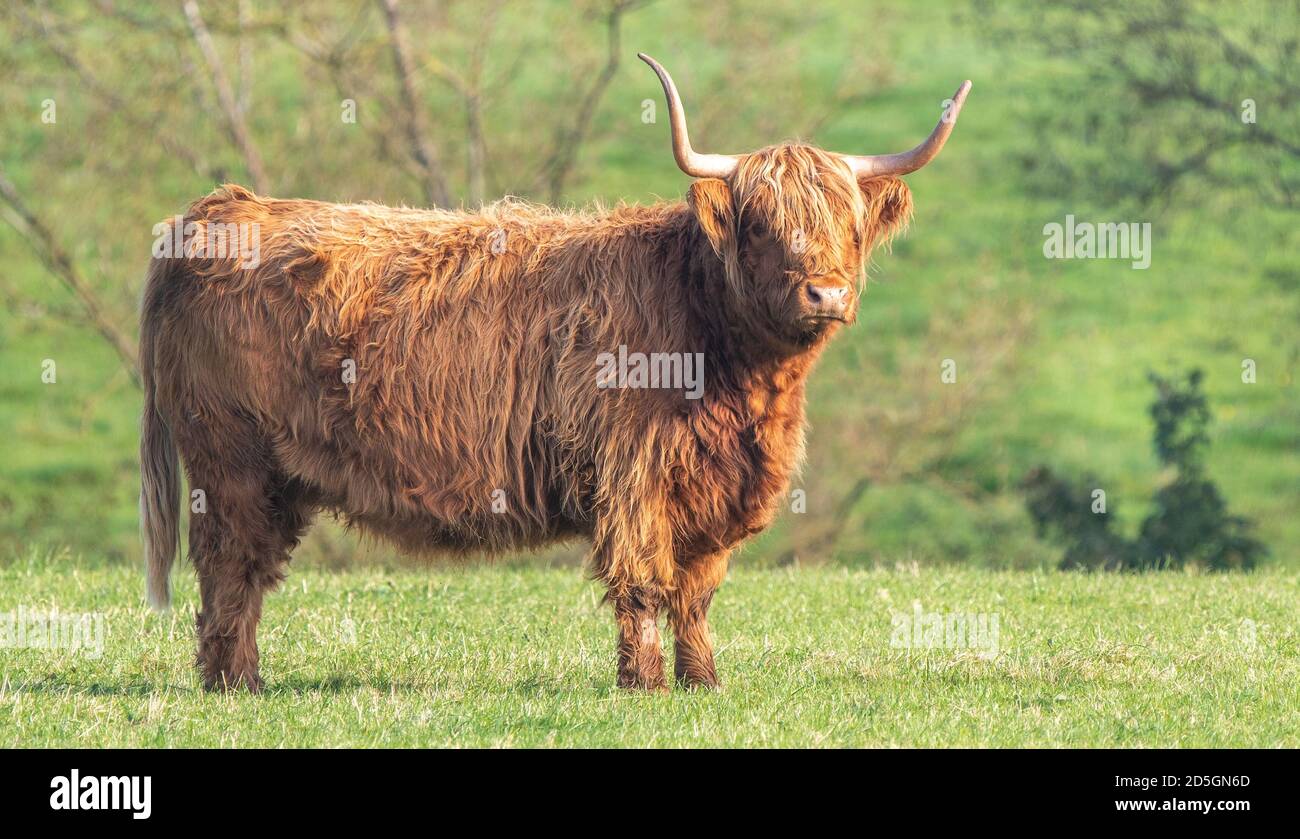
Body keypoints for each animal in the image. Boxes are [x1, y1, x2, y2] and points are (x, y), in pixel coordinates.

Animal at [140, 54, 970, 692]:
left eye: (847, 224)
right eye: (762, 225)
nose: (825, 293)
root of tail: (220, 209)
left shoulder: (716, 488)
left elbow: (697, 591)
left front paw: (703, 681)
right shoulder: (633, 470)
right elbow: (645, 580)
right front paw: (645, 685)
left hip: (271, 472)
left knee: (247, 571)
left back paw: (240, 676)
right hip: (230, 459)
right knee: (230, 566)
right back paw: (235, 683)